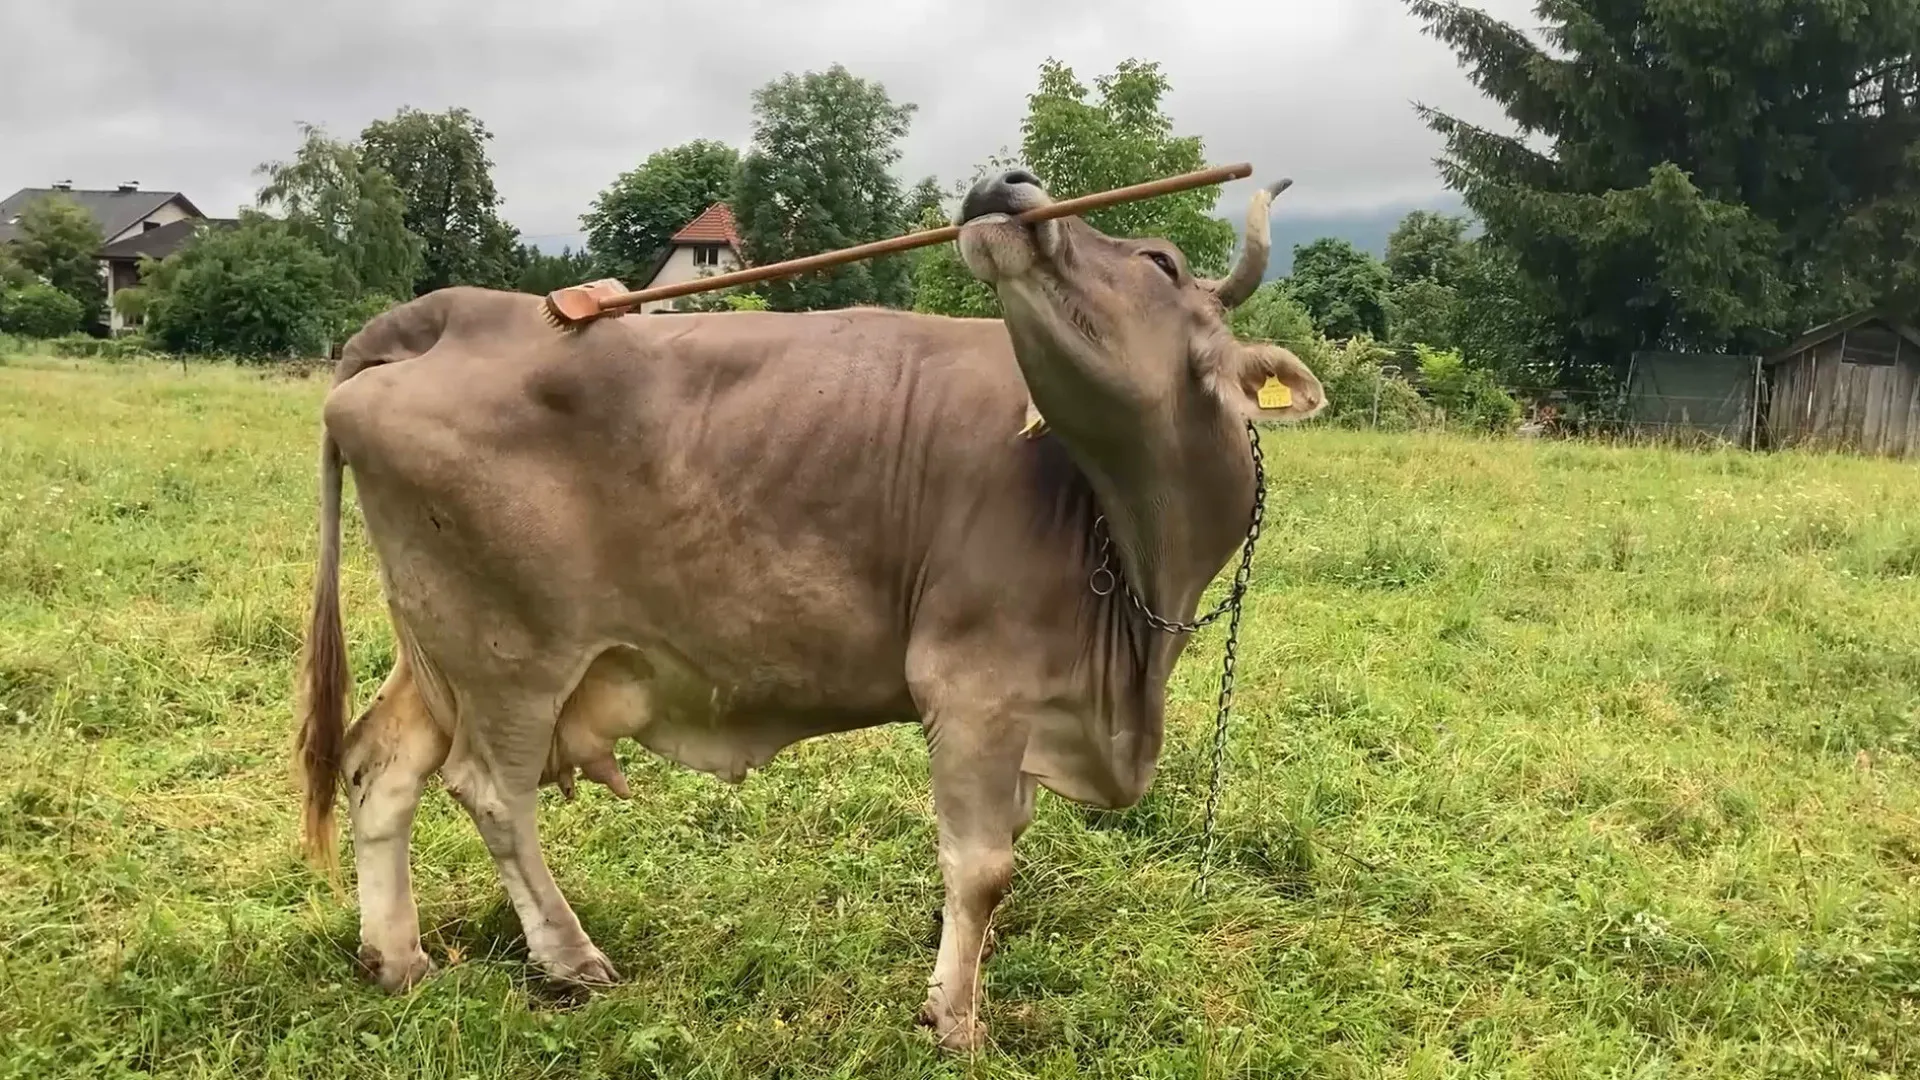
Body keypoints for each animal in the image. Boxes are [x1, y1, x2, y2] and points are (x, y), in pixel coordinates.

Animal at [294, 167, 1325, 1051]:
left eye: (1158, 263)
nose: (1008, 183)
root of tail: (457, 310)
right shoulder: (974, 686)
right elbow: (982, 866)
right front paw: (953, 1017)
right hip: (510, 651)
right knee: (489, 792)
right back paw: (570, 956)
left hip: (436, 643)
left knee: (381, 764)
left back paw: (398, 958)